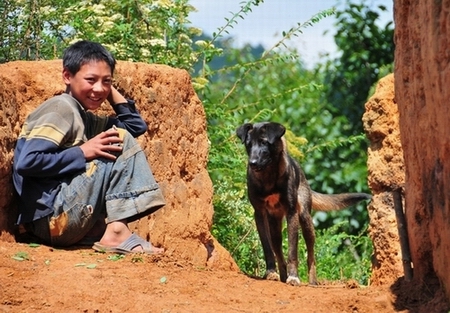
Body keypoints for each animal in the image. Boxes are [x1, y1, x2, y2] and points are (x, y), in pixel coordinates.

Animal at [236, 121, 370, 286]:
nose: (252, 163)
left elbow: (293, 251)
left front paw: (294, 276)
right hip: (275, 227)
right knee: (278, 251)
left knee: (311, 255)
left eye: (264, 142)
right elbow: (267, 248)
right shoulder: (259, 213)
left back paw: (312, 282)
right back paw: (282, 276)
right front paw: (270, 272)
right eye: (248, 145)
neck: (268, 177)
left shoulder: (292, 212)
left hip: (306, 220)